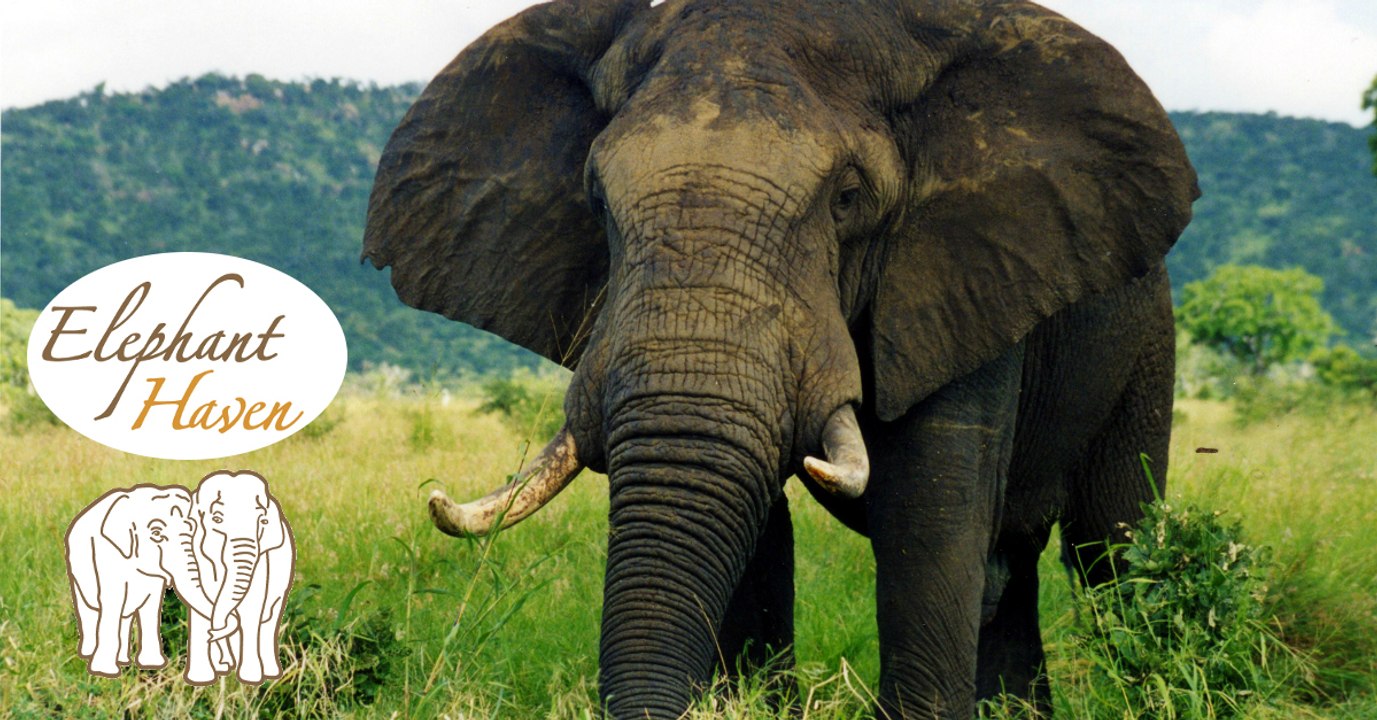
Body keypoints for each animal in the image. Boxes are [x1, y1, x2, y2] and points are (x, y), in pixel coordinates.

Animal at [65, 484, 218, 677]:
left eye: (191, 530)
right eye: (156, 533)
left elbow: (151, 605)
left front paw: (152, 664)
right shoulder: (107, 552)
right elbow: (113, 600)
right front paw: (104, 671)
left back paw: (122, 660)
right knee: (88, 609)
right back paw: (88, 656)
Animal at [185, 470, 294, 685]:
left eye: (263, 522)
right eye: (217, 519)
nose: (224, 660)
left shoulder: (260, 562)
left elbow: (251, 607)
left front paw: (250, 678)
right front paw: (202, 679)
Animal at [362, 0, 1198, 717]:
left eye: (847, 199)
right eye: (596, 200)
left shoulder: (962, 269)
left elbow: (928, 522)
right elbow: (750, 531)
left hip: (1145, 343)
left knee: (1111, 549)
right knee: (1013, 578)